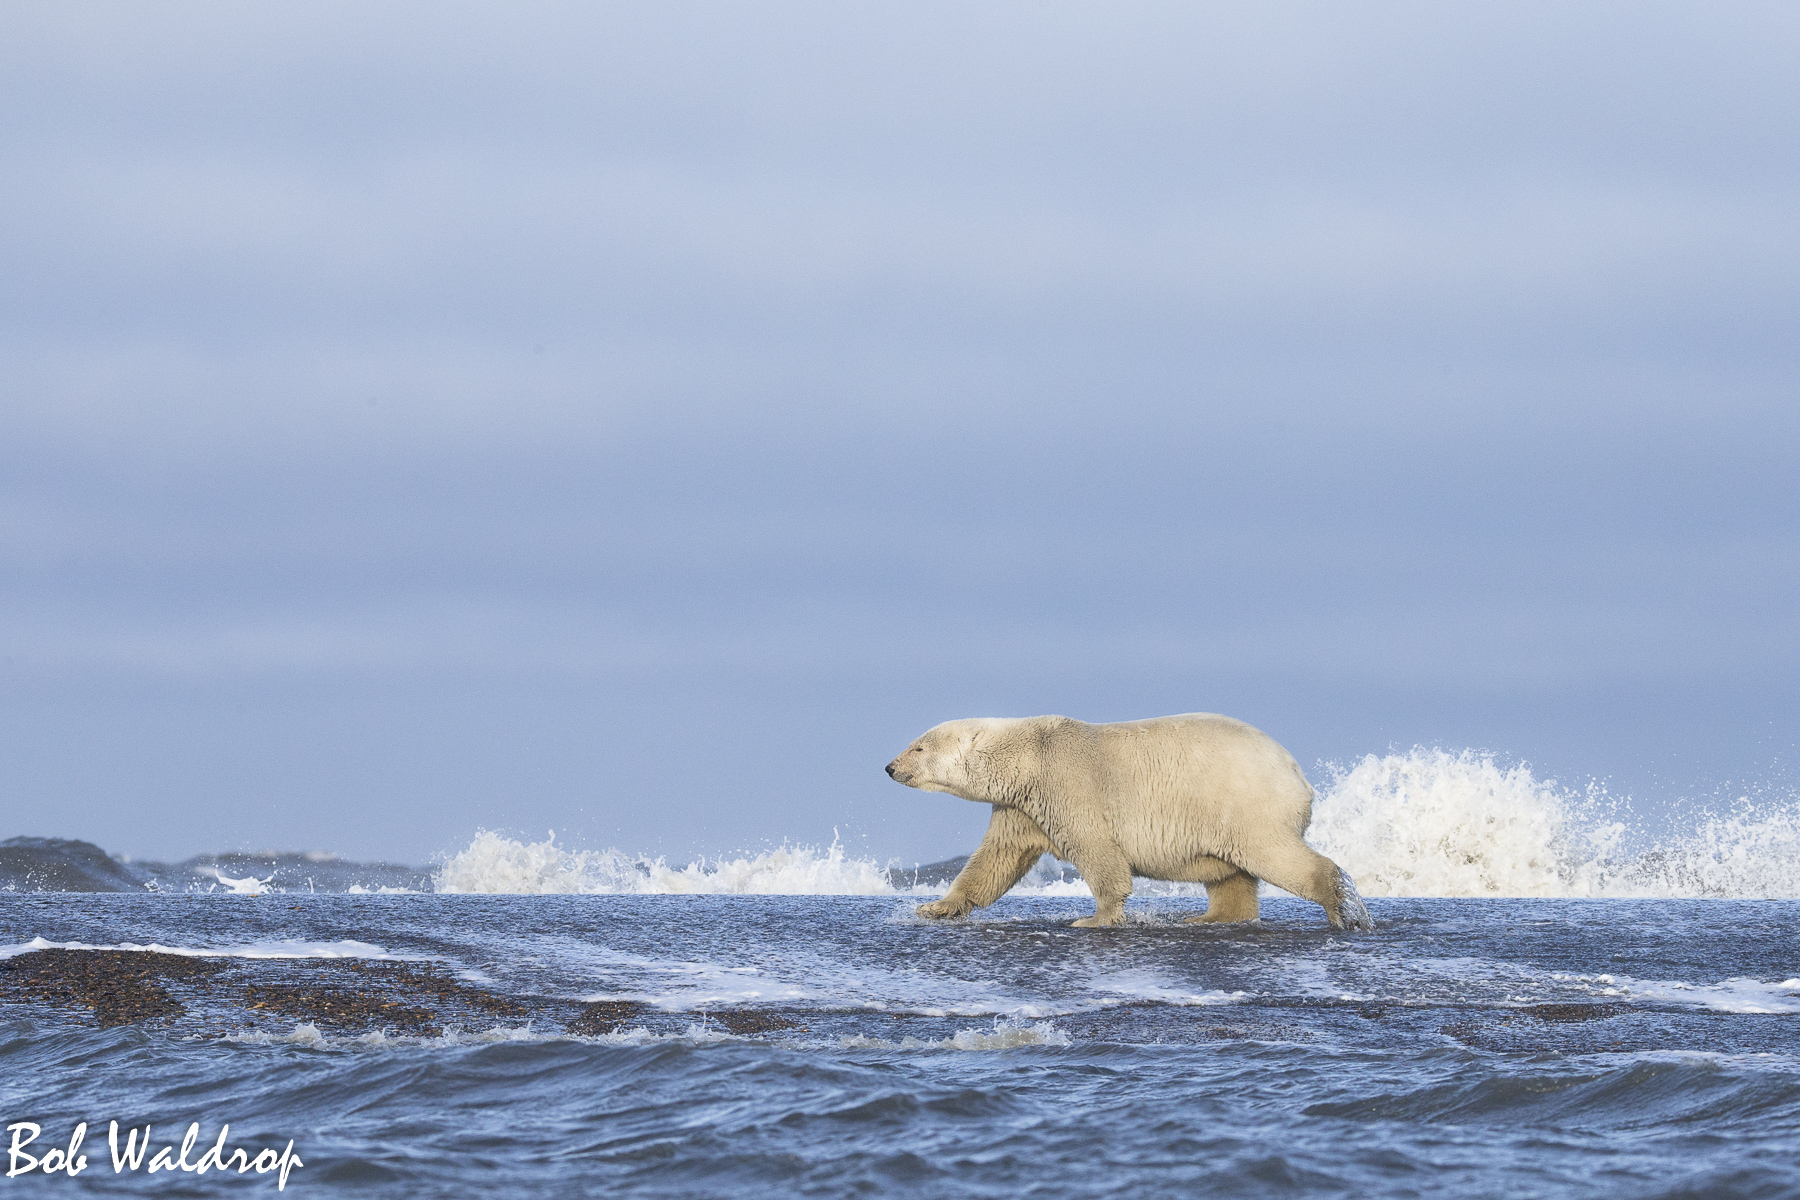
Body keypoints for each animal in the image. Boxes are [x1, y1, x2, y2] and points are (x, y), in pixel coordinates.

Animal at [889, 712, 1375, 928]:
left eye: (918, 746)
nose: (890, 767)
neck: (1028, 756)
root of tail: (1297, 771)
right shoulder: (1022, 807)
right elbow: (996, 859)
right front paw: (934, 906)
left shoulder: (1067, 784)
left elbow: (1096, 850)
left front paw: (1095, 919)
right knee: (1229, 874)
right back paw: (1208, 918)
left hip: (1244, 802)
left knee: (1271, 854)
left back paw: (1343, 906)